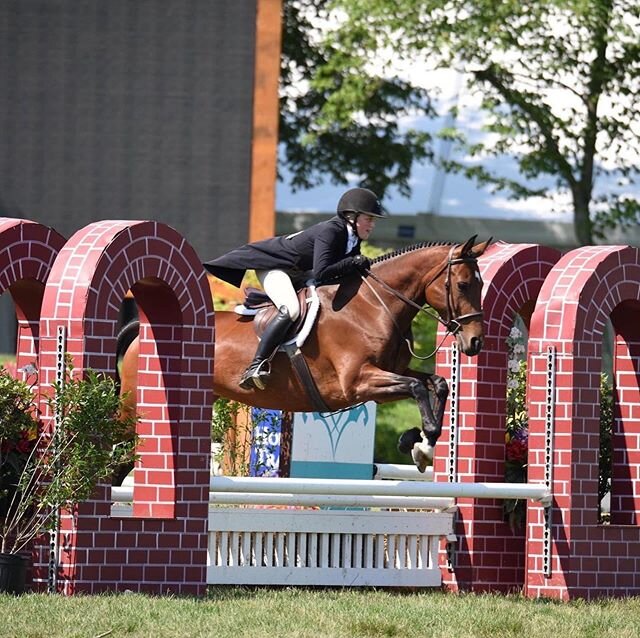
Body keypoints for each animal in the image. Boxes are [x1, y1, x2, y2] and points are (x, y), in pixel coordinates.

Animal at [117, 238, 492, 472]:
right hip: (133, 408)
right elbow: (416, 388)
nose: (474, 342)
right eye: (462, 285)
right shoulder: (357, 383)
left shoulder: (385, 375)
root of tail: (142, 327)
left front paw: (419, 442)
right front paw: (420, 444)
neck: (373, 306)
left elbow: (437, 383)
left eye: (482, 284)